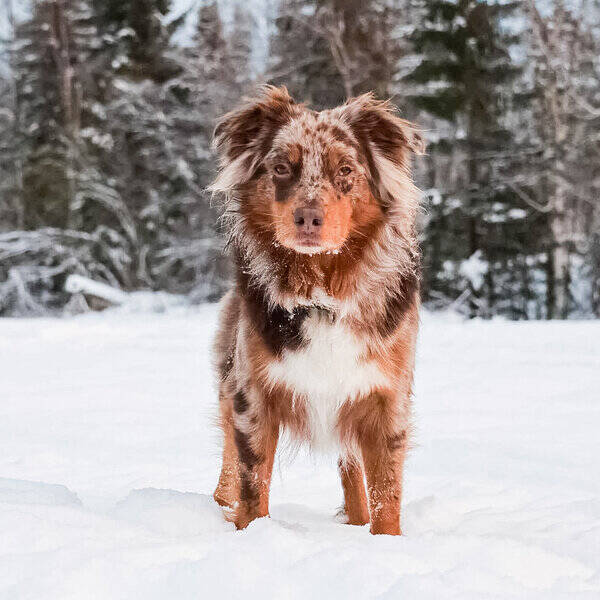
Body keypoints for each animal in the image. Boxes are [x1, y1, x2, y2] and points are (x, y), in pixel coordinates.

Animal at [209, 84, 424, 536]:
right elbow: (253, 485)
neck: (322, 292)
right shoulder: (253, 396)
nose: (308, 218)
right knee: (228, 468)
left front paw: (387, 542)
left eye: (345, 169)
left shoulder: (384, 400)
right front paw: (250, 533)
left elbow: (386, 495)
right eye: (280, 168)